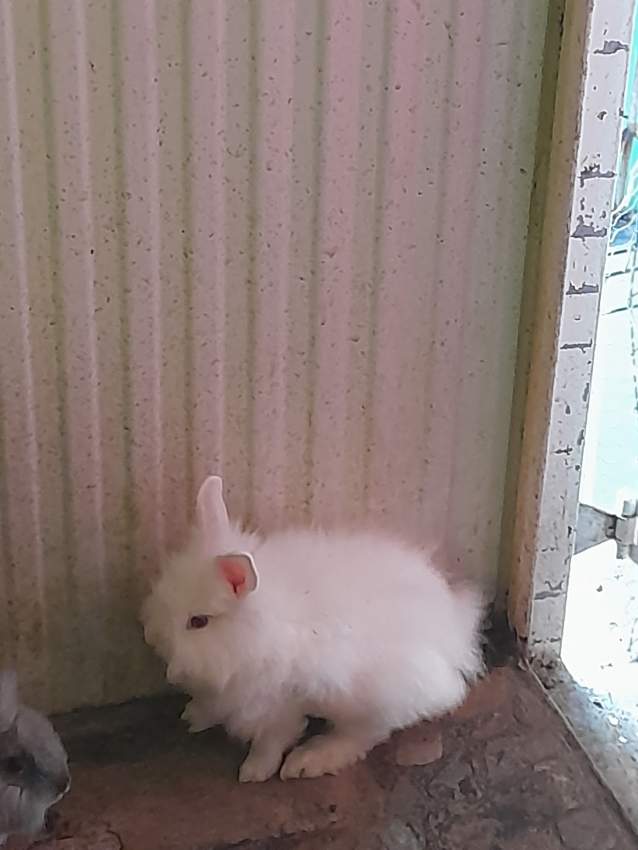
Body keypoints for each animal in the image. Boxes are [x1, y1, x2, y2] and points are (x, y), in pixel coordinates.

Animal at [141, 475, 484, 783]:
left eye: (198, 621)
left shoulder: (278, 701)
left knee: (368, 732)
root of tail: (455, 632)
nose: (150, 636)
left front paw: (254, 772)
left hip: (371, 694)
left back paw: (311, 759)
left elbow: (273, 738)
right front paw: (194, 715)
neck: (257, 629)